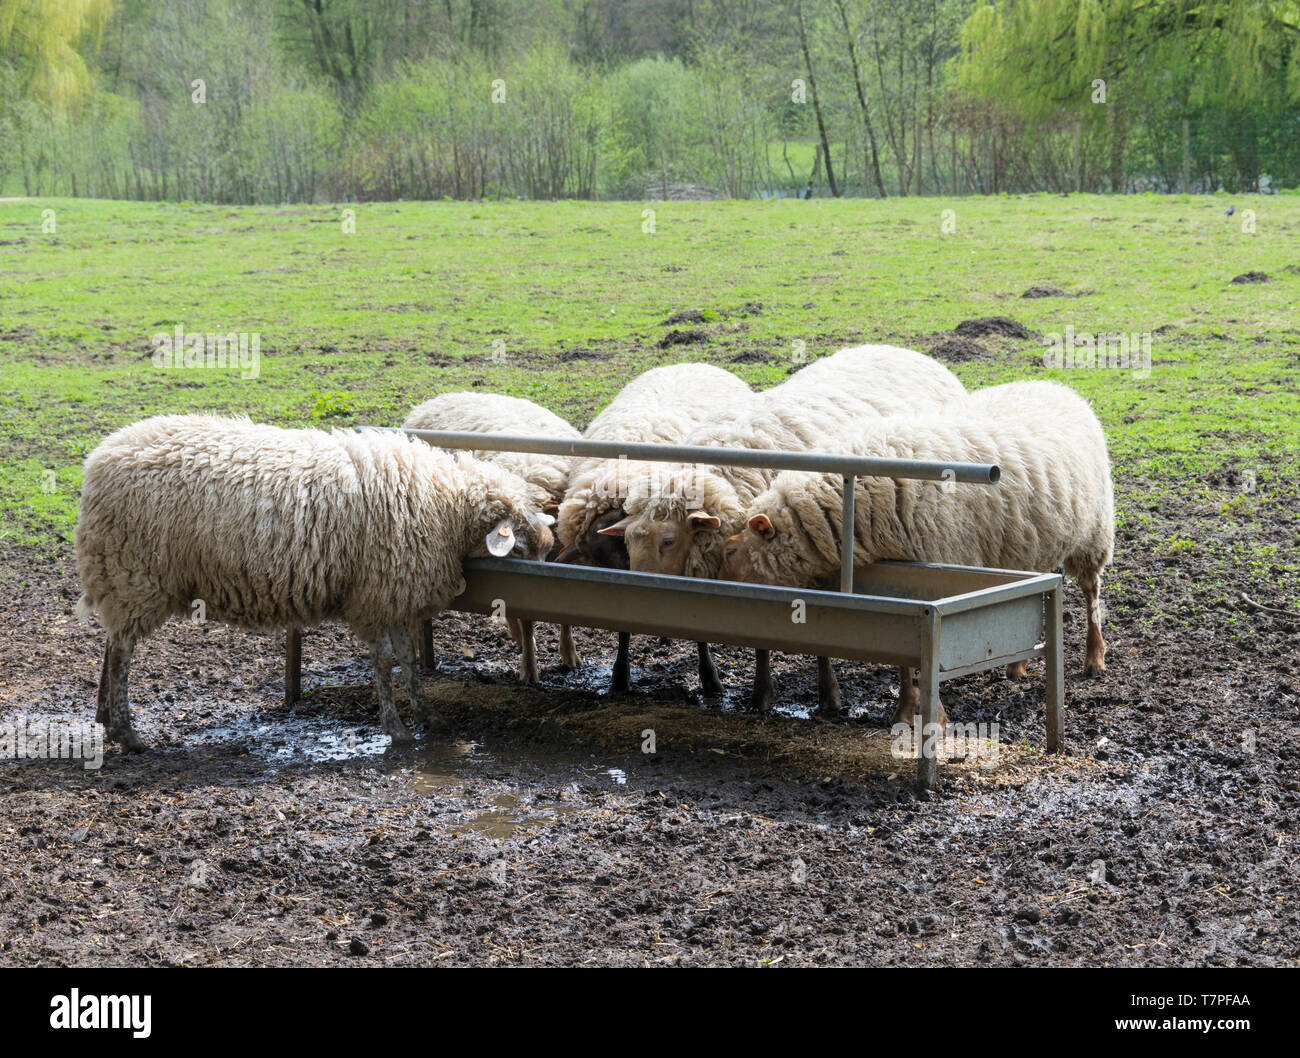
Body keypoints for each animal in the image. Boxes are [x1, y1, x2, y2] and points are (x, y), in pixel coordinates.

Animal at [76, 415, 553, 753]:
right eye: (523, 546)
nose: (536, 617)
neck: (444, 504)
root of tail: (101, 457)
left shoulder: (394, 595)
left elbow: (409, 658)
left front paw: (428, 716)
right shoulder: (374, 596)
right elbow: (384, 662)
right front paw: (395, 727)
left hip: (121, 577)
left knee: (111, 642)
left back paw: (104, 719)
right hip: (136, 573)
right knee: (121, 652)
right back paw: (127, 733)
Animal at [403, 392, 582, 681]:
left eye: (547, 547)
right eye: (518, 550)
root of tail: (440, 396)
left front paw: (569, 652)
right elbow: (528, 614)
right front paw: (529, 667)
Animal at [717, 382, 1112, 727]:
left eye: (731, 550)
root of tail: (1058, 386)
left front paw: (920, 712)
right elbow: (903, 660)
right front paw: (907, 709)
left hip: (1094, 533)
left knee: (1091, 591)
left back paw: (1094, 658)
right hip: (1028, 542)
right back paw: (1016, 667)